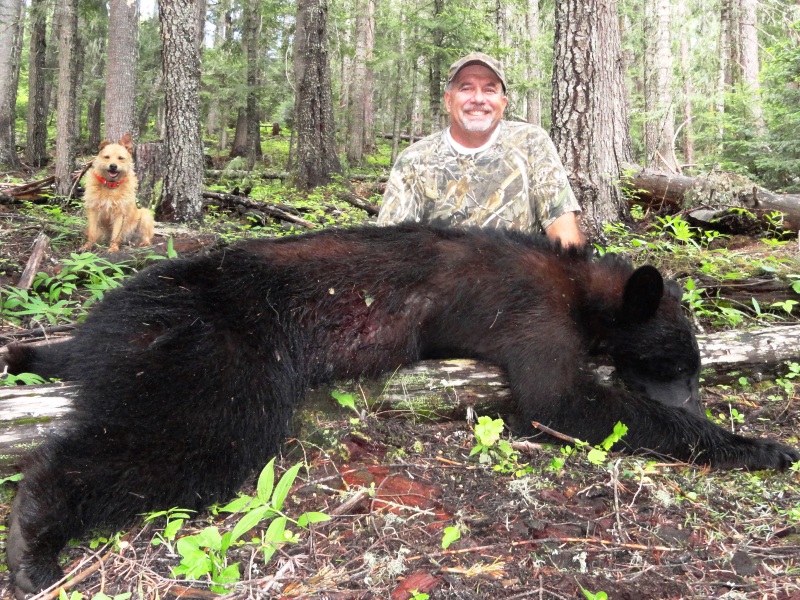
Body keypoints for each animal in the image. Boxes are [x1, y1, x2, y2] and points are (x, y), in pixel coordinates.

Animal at [6, 226, 800, 596]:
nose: (697, 391)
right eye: (674, 367)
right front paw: (759, 444)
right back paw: (35, 540)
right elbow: (562, 400)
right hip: (215, 355)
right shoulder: (533, 320)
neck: (582, 290)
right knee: (182, 443)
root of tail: (108, 318)